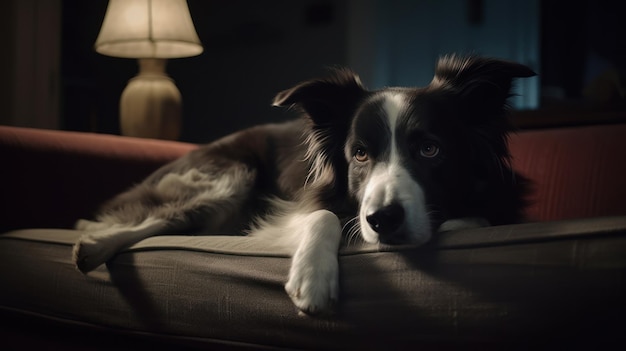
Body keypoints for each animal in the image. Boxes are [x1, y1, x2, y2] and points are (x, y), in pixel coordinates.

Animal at [72, 55, 532, 316]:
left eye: (430, 149)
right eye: (359, 154)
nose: (382, 220)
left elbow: (474, 219)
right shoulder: (296, 207)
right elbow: (322, 213)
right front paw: (313, 277)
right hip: (230, 177)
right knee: (153, 219)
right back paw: (93, 244)